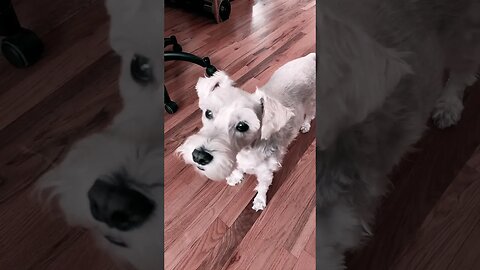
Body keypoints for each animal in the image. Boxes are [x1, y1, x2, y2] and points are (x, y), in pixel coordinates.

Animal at [178, 52, 316, 211]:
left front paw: (259, 201)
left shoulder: (265, 172)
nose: (199, 156)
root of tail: (310, 58)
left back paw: (305, 125)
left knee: (310, 114)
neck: (245, 151)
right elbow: (237, 169)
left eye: (242, 126)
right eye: (208, 113)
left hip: (311, 102)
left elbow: (262, 187)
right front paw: (236, 176)